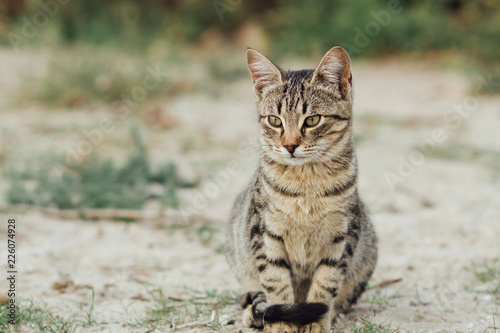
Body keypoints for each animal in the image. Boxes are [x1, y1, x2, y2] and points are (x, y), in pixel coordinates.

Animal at [225, 44, 376, 332]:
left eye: (313, 120)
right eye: (274, 121)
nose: (290, 145)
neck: (307, 184)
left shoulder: (343, 234)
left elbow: (326, 283)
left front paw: (316, 320)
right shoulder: (264, 232)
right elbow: (276, 283)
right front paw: (282, 323)